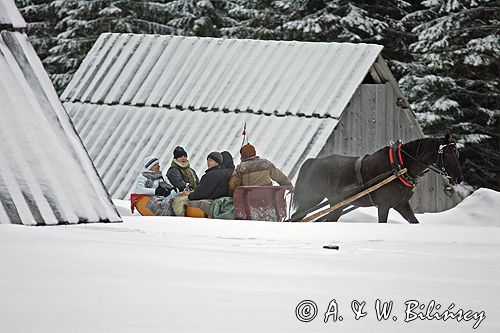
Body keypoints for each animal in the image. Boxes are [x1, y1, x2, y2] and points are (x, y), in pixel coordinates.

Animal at [292, 133, 462, 223]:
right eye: (448, 154)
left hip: (336, 205)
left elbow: (414, 221)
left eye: (457, 153)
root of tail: (313, 161)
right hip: (312, 198)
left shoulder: (401, 204)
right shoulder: (384, 205)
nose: (459, 178)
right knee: (295, 217)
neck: (399, 165)